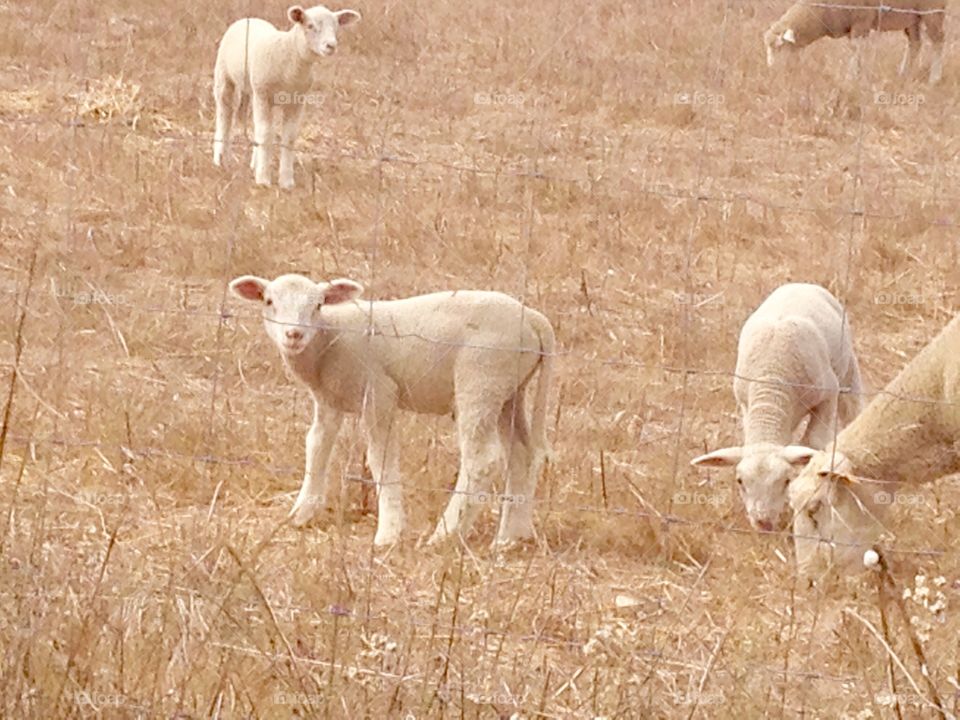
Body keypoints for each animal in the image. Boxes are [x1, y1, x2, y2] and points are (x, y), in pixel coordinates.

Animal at [212, 4, 362, 188]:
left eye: (336, 26)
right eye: (310, 25)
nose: (331, 46)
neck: (289, 55)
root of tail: (249, 18)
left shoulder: (295, 101)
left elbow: (289, 137)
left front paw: (286, 181)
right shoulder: (263, 94)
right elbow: (266, 134)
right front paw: (263, 179)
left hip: (254, 91)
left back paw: (254, 163)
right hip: (224, 77)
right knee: (224, 116)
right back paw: (221, 159)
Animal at [229, 274, 556, 544]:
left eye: (318, 305)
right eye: (269, 301)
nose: (294, 335)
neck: (329, 337)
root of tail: (535, 319)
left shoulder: (379, 394)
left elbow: (380, 460)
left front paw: (388, 533)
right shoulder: (328, 400)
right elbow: (317, 446)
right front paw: (301, 513)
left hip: (480, 380)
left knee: (482, 460)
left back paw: (446, 533)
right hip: (509, 392)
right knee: (522, 454)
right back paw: (511, 536)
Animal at [688, 284, 864, 532]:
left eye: (786, 480)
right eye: (740, 481)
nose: (763, 522)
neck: (771, 382)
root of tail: (800, 284)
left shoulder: (828, 396)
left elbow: (815, 442)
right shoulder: (746, 404)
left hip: (847, 370)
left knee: (854, 408)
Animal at [760, 0, 948, 83]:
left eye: (779, 47)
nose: (771, 72)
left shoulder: (862, 20)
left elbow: (855, 48)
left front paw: (851, 78)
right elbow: (856, 50)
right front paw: (857, 74)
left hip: (932, 11)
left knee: (938, 40)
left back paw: (935, 78)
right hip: (912, 17)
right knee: (915, 43)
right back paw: (903, 74)